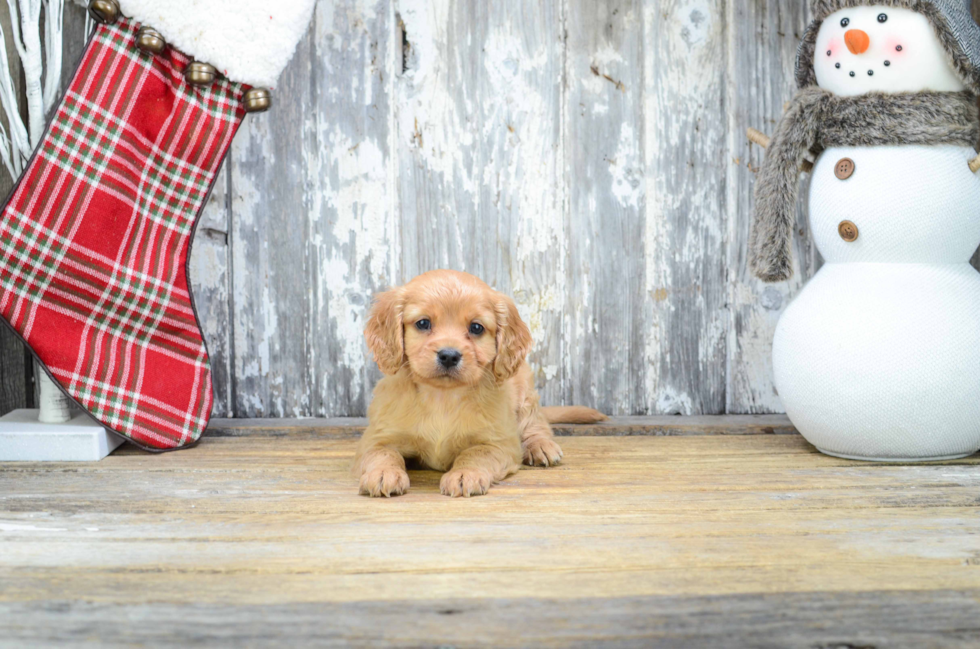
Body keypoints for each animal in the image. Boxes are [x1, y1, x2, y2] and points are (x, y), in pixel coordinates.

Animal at [356, 268, 608, 496]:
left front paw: (464, 474)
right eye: (423, 323)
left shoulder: (500, 442)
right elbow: (384, 453)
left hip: (525, 393)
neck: (442, 397)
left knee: (536, 423)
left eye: (476, 327)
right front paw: (383, 473)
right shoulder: (377, 437)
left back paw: (540, 446)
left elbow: (475, 453)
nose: (449, 355)